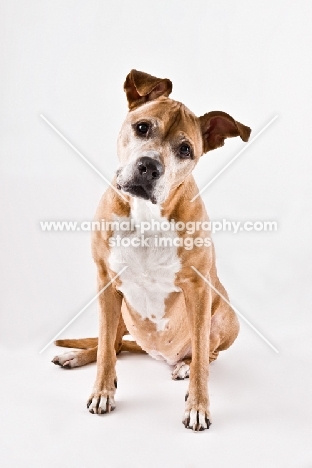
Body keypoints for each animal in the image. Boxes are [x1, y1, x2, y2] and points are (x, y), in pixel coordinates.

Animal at [51, 69, 251, 432]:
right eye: (142, 127)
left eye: (185, 150)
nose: (149, 167)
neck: (146, 214)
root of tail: (158, 354)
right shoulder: (106, 284)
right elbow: (106, 350)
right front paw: (102, 392)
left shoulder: (199, 291)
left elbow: (201, 361)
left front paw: (197, 406)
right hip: (120, 312)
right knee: (114, 344)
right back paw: (77, 355)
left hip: (227, 318)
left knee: (205, 353)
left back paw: (184, 365)